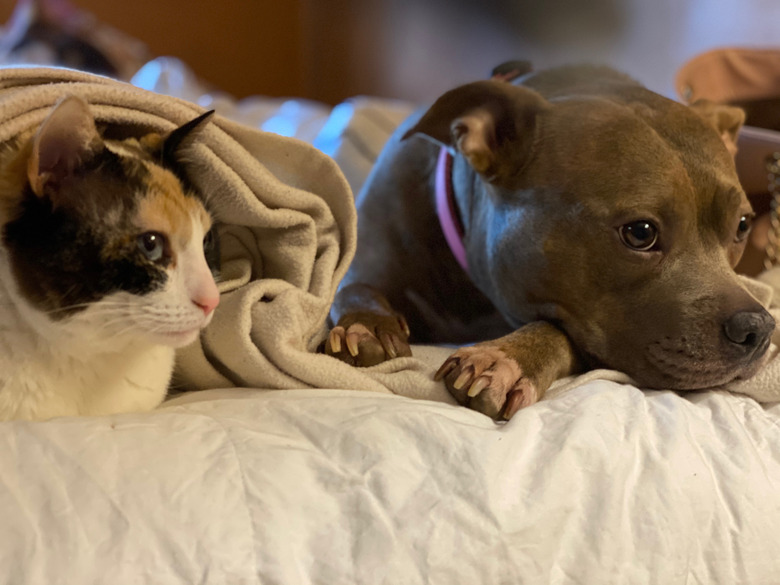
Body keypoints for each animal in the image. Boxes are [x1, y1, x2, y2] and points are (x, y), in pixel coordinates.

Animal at [322, 64, 772, 420]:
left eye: (742, 225)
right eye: (641, 233)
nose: (759, 328)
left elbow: (557, 328)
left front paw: (509, 359)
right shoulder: (369, 258)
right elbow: (352, 287)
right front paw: (367, 324)